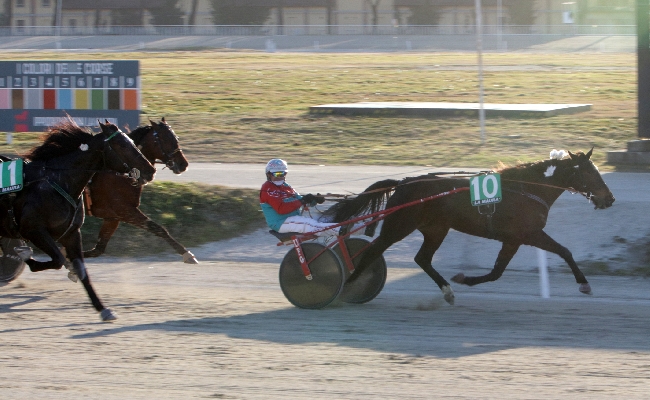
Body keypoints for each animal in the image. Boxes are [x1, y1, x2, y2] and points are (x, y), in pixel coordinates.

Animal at [0, 119, 156, 322]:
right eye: (122, 145)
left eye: (131, 141)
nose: (150, 170)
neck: (55, 182)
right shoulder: (34, 231)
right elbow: (58, 260)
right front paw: (27, 256)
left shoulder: (72, 233)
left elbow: (81, 270)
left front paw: (103, 309)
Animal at [79, 117, 195, 264]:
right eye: (165, 139)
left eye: (176, 138)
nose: (183, 164)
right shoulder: (125, 210)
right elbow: (157, 228)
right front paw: (187, 253)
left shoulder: (112, 217)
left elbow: (98, 249)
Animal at [322, 149, 616, 304]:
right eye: (590, 172)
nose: (609, 199)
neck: (528, 189)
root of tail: (404, 182)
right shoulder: (528, 233)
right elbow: (564, 251)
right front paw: (584, 284)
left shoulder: (513, 239)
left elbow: (497, 272)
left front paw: (465, 279)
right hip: (398, 226)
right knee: (373, 251)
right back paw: (348, 283)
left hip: (436, 229)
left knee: (422, 258)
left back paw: (447, 291)